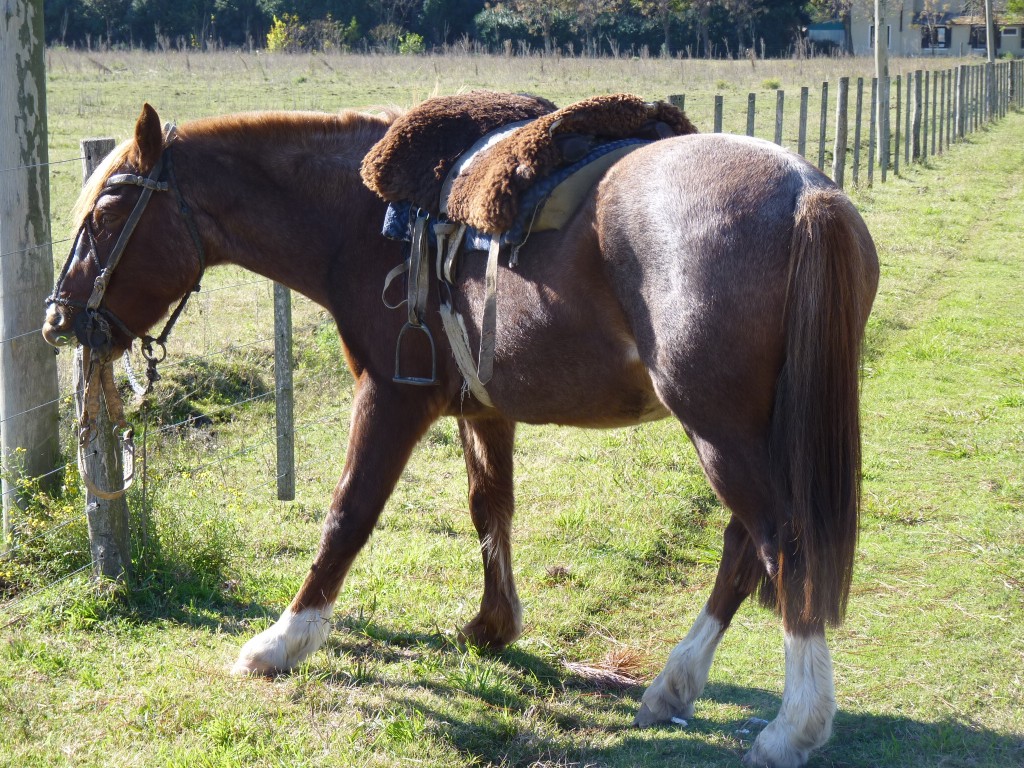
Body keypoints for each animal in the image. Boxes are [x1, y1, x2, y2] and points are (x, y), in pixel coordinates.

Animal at [42, 102, 878, 768]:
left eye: (108, 216)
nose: (58, 319)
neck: (362, 219)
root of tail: (809, 196)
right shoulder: (482, 410)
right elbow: (490, 509)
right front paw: (492, 624)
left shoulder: (392, 398)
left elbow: (347, 516)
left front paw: (283, 641)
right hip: (746, 432)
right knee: (746, 546)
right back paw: (675, 686)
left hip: (720, 430)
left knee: (784, 543)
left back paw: (794, 724)